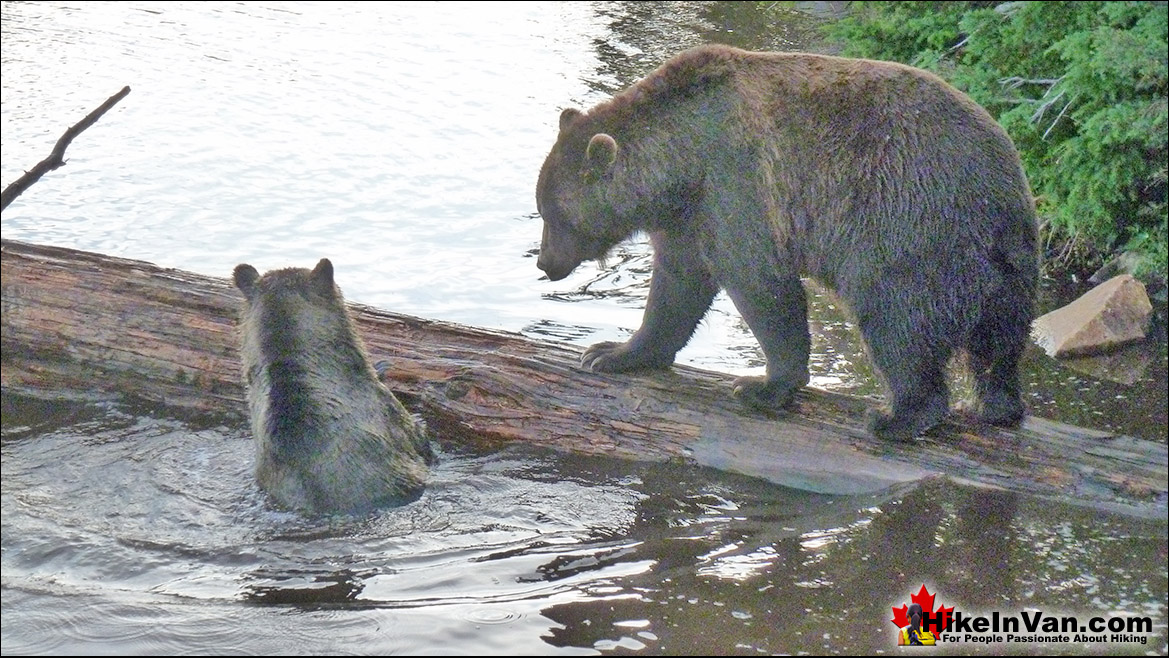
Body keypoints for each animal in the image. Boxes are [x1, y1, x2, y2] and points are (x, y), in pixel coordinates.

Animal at [535, 43, 1038, 439]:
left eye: (555, 215)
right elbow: (676, 286)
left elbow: (760, 283)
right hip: (1006, 262)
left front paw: (762, 386)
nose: (544, 262)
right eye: (543, 207)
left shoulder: (735, 184)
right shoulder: (689, 217)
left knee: (896, 319)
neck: (680, 161)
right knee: (1000, 342)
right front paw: (611, 353)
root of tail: (1004, 195)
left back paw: (898, 416)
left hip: (913, 230)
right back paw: (995, 406)